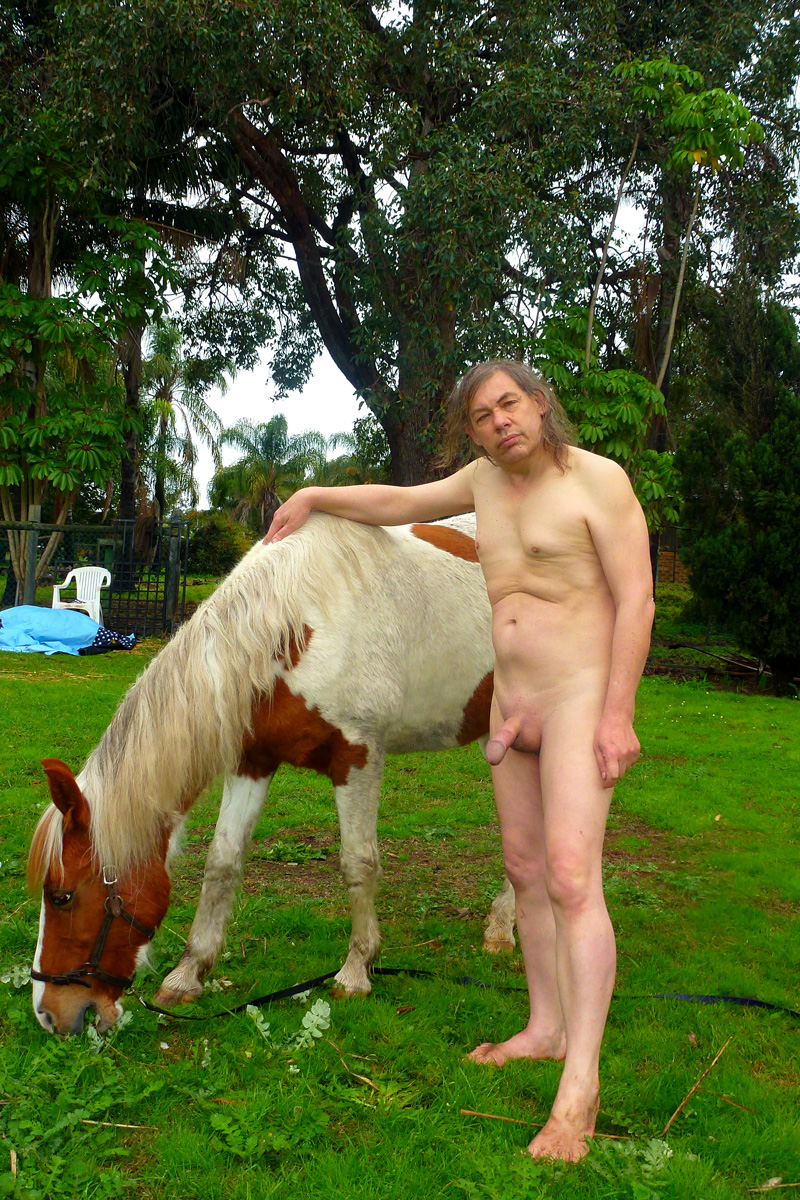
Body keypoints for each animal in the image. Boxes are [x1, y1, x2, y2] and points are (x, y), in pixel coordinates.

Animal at [28, 514, 517, 1036]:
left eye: (61, 896)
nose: (49, 1014)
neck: (298, 624)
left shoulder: (358, 755)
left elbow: (358, 863)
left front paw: (356, 971)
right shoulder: (252, 760)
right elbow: (221, 862)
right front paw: (188, 975)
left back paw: (503, 932)